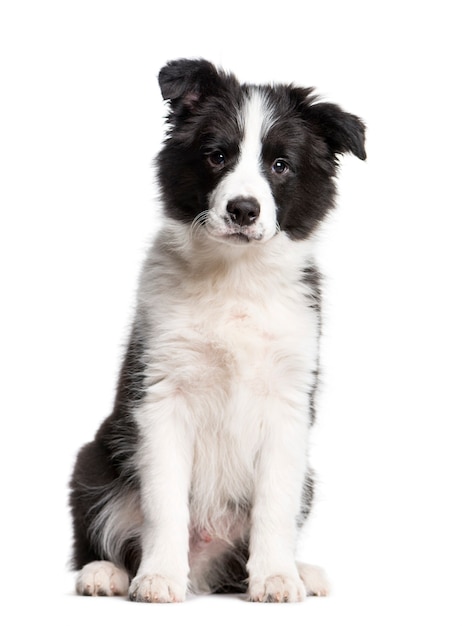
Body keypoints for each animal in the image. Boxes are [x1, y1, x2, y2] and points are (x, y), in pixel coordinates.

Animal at [69, 59, 364, 600]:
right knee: (104, 533)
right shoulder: (162, 397)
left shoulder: (289, 403)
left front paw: (276, 577)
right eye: (217, 155)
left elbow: (274, 504)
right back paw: (106, 573)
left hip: (309, 478)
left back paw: (300, 570)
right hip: (91, 463)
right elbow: (165, 502)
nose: (243, 210)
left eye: (280, 165)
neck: (236, 276)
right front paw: (160, 576)